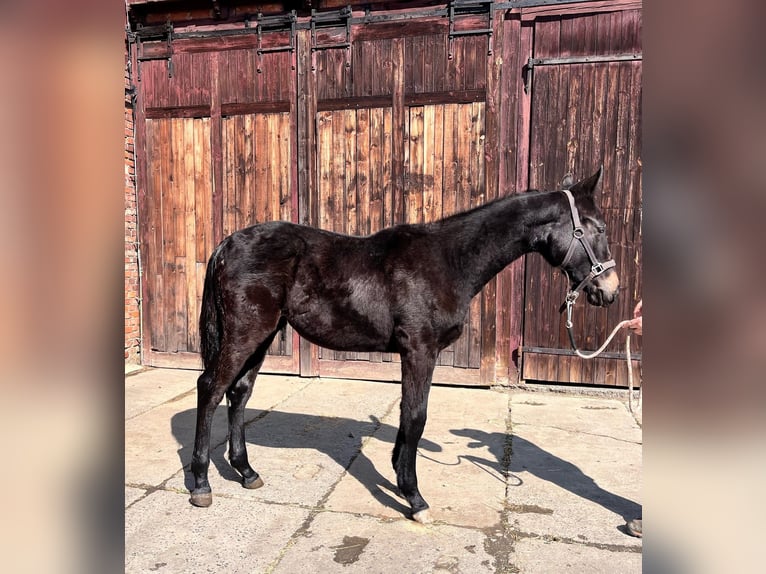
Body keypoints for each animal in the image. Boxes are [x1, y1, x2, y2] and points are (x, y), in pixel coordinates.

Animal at [189, 167, 620, 524]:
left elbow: (405, 415)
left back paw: (246, 472)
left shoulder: (414, 354)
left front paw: (400, 477)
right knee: (211, 388)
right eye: (595, 227)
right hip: (245, 333)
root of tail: (226, 244)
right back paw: (201, 484)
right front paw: (414, 498)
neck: (448, 261)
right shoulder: (420, 350)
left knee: (239, 393)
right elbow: (416, 416)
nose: (610, 290)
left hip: (261, 336)